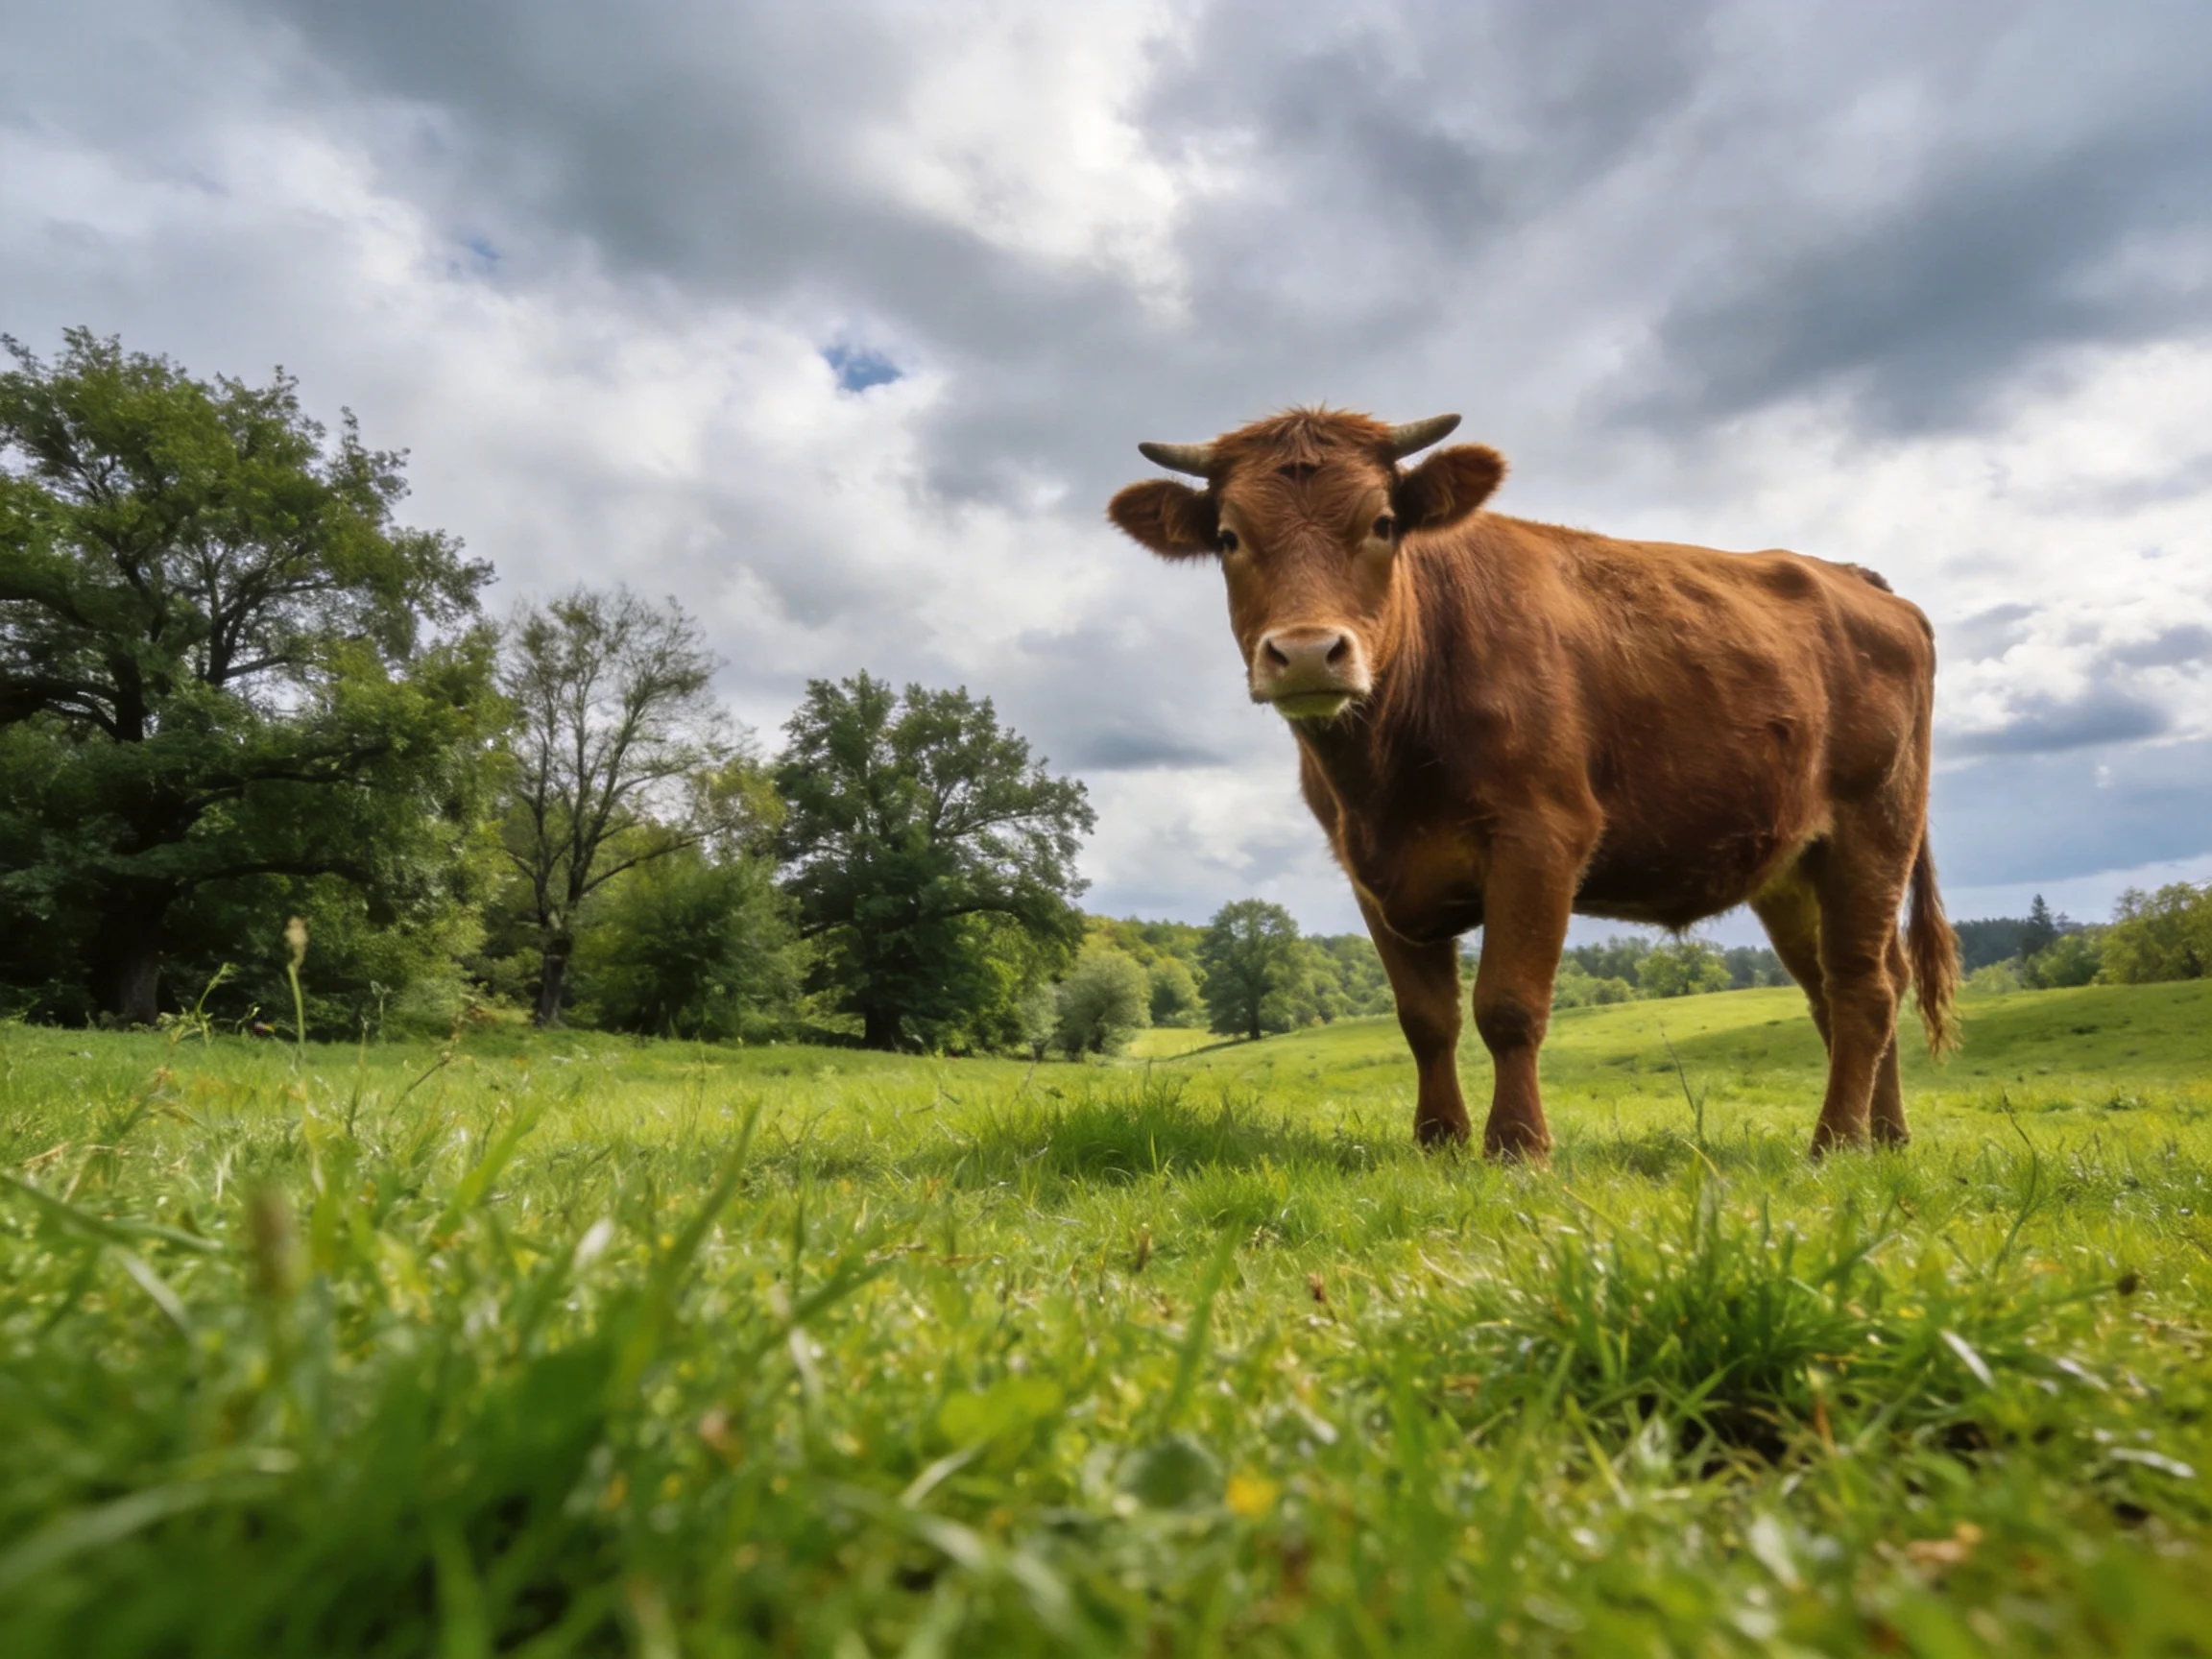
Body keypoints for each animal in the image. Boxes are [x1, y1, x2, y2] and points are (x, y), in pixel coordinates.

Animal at [1107, 408, 1958, 1161]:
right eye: (1228, 537)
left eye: (1382, 524)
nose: (1310, 652)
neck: (1384, 776)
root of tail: (1850, 576)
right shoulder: (1369, 870)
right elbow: (1425, 1018)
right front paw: (1438, 1144)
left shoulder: (1542, 836)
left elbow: (1509, 1007)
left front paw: (1517, 1147)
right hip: (1791, 867)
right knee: (1849, 986)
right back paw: (1886, 1138)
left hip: (1873, 827)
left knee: (1862, 989)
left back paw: (1835, 1143)